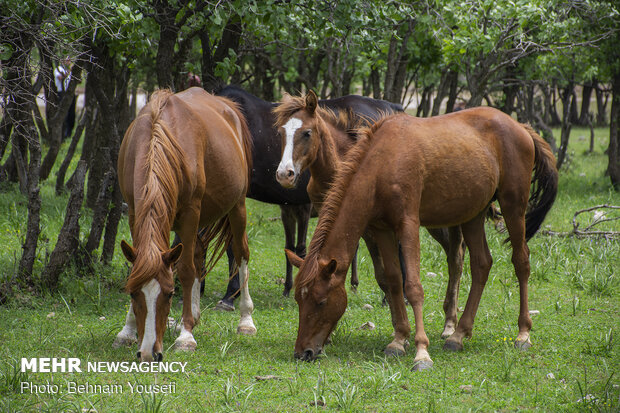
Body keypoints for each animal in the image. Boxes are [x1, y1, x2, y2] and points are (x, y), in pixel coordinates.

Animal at [112, 87, 256, 360]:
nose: (149, 353)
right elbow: (140, 266)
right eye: (133, 293)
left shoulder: (190, 213)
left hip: (237, 206)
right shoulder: (135, 212)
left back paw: (245, 320)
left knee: (241, 253)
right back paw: (192, 317)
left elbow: (187, 271)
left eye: (169, 294)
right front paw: (127, 330)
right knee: (199, 253)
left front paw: (186, 337)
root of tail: (228, 107)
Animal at [274, 91, 464, 338]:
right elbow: (381, 275)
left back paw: (450, 324)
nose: (284, 174)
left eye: (306, 133)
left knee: (456, 256)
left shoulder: (369, 227)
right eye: (280, 133)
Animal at [288, 108, 560, 368]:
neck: (383, 163)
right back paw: (458, 334)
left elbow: (413, 287)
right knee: (481, 264)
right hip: (473, 214)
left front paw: (421, 352)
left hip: (513, 206)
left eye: (321, 301)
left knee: (521, 262)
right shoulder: (382, 229)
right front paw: (399, 339)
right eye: (298, 300)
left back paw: (523, 333)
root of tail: (521, 127)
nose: (303, 352)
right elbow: (394, 280)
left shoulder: (408, 224)